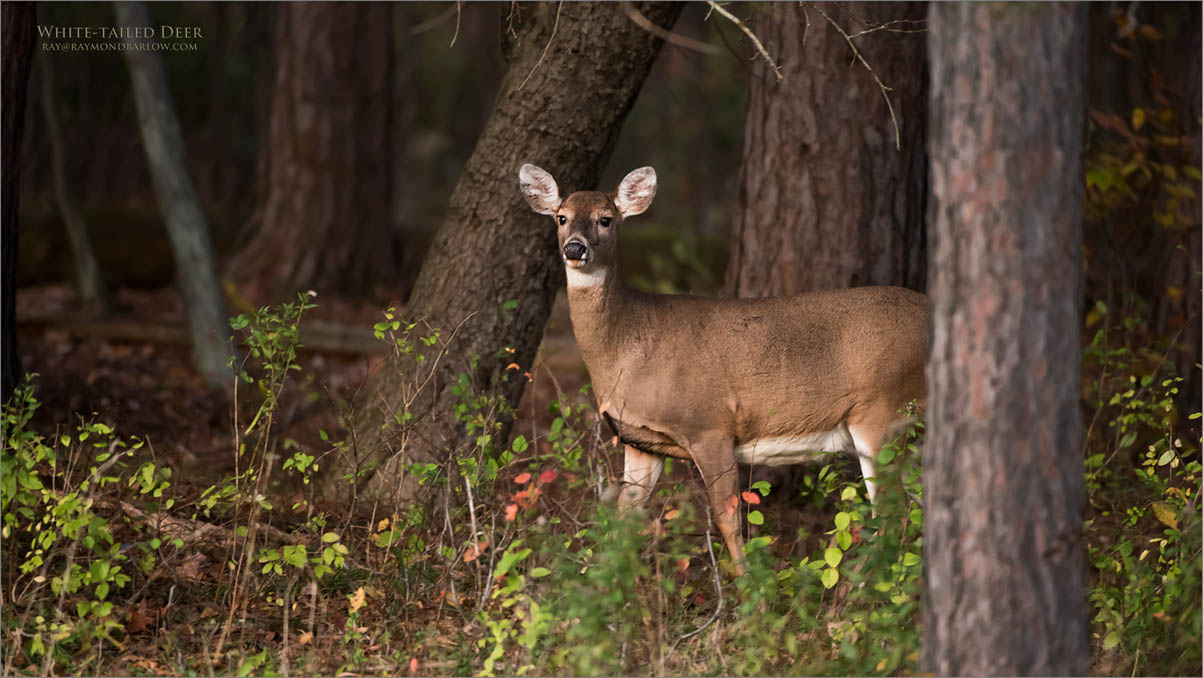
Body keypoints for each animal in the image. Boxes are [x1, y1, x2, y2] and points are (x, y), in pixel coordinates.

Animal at [514, 162, 919, 572]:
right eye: (561, 217)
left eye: (606, 219)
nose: (574, 247)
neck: (627, 346)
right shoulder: (641, 441)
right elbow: (624, 520)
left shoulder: (710, 426)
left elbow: (728, 519)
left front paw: (748, 585)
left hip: (880, 411)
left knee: (892, 512)